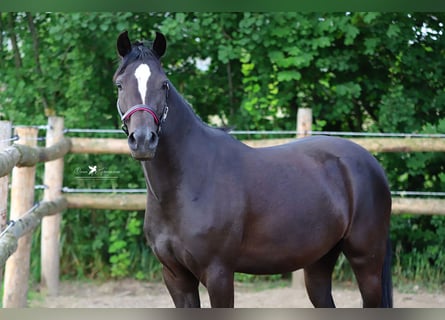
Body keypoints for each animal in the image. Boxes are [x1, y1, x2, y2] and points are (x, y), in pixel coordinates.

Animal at [112, 30, 390, 308]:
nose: (143, 139)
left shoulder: (219, 273)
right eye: (120, 85)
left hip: (366, 262)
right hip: (320, 262)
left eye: (164, 84)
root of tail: (370, 161)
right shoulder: (175, 277)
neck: (187, 184)